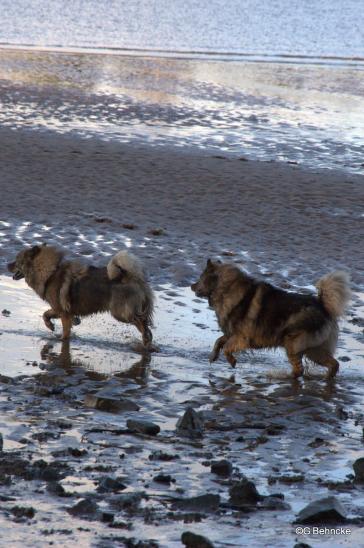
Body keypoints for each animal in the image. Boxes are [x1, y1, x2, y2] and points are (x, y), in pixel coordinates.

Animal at [8, 246, 154, 348]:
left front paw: (60, 338)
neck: (50, 272)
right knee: (144, 324)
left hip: (120, 313)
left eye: (17, 260)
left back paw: (146, 338)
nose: (6, 265)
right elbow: (46, 314)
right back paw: (147, 340)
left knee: (140, 320)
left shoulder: (62, 311)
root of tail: (133, 277)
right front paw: (51, 326)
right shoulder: (61, 311)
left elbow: (62, 329)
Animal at [191, 260, 350, 378]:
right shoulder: (231, 333)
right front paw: (213, 356)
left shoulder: (241, 338)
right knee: (333, 364)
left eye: (200, 278)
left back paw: (283, 377)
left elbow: (226, 348)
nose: (191, 286)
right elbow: (219, 341)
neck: (226, 289)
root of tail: (323, 305)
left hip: (293, 344)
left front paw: (232, 361)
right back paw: (327, 378)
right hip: (313, 349)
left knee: (299, 370)